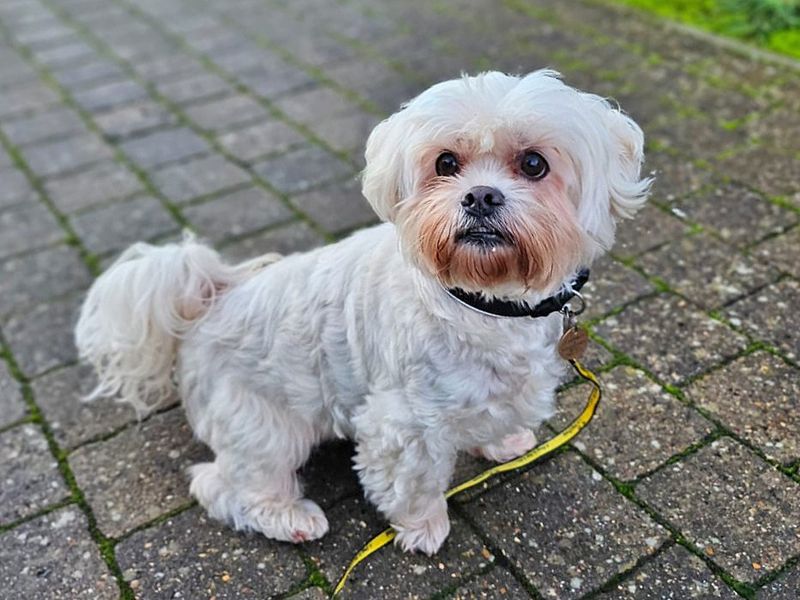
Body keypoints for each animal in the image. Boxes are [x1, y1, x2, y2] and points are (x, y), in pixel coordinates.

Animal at [73, 69, 648, 552]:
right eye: (446, 163)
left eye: (533, 163)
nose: (480, 196)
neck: (483, 300)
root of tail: (210, 298)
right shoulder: (403, 424)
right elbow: (412, 482)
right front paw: (423, 527)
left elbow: (494, 414)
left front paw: (503, 442)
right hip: (263, 426)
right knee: (224, 485)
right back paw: (290, 517)